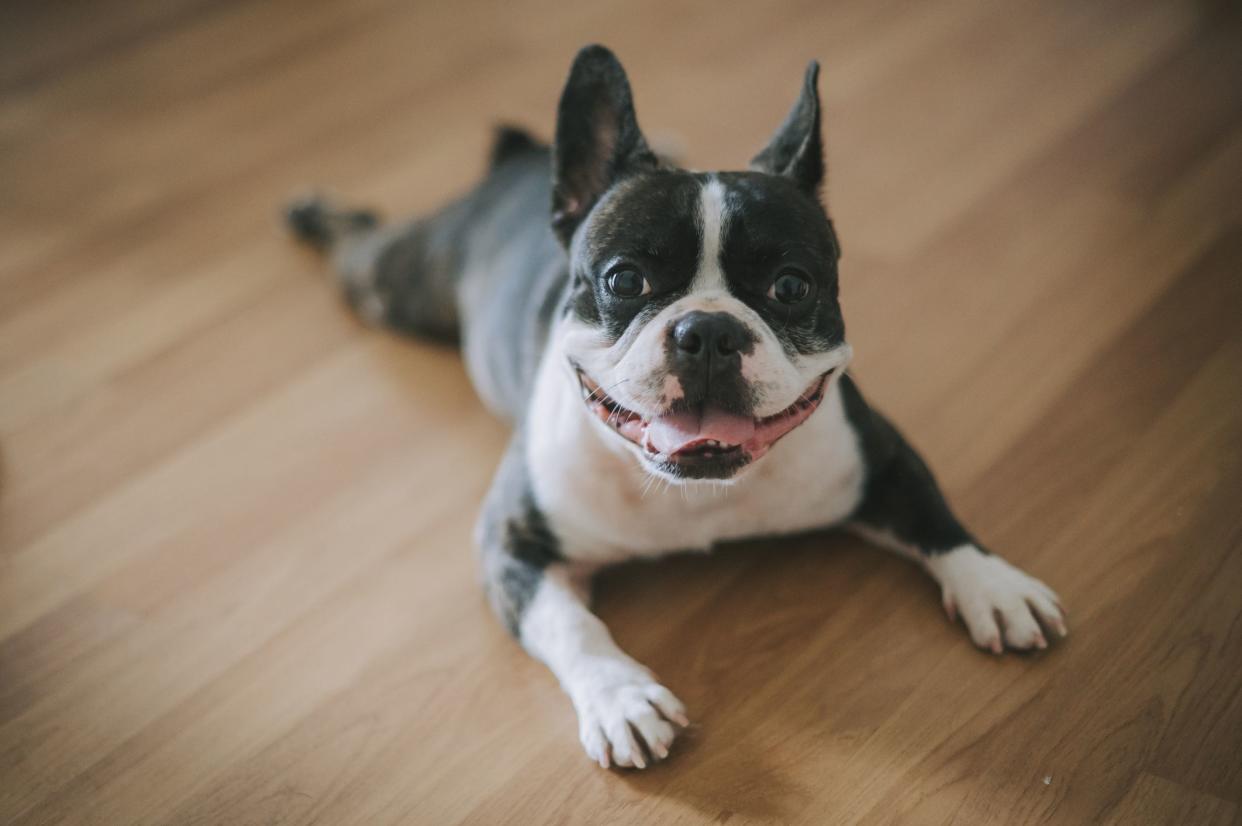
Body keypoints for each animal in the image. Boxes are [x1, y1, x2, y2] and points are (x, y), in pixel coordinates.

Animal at [284, 43, 1068, 765]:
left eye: (791, 286)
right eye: (623, 279)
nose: (708, 332)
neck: (696, 495)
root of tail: (522, 161)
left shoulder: (880, 454)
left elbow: (935, 515)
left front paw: (994, 584)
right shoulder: (511, 542)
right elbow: (570, 625)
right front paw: (620, 696)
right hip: (394, 283)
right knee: (358, 241)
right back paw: (315, 212)